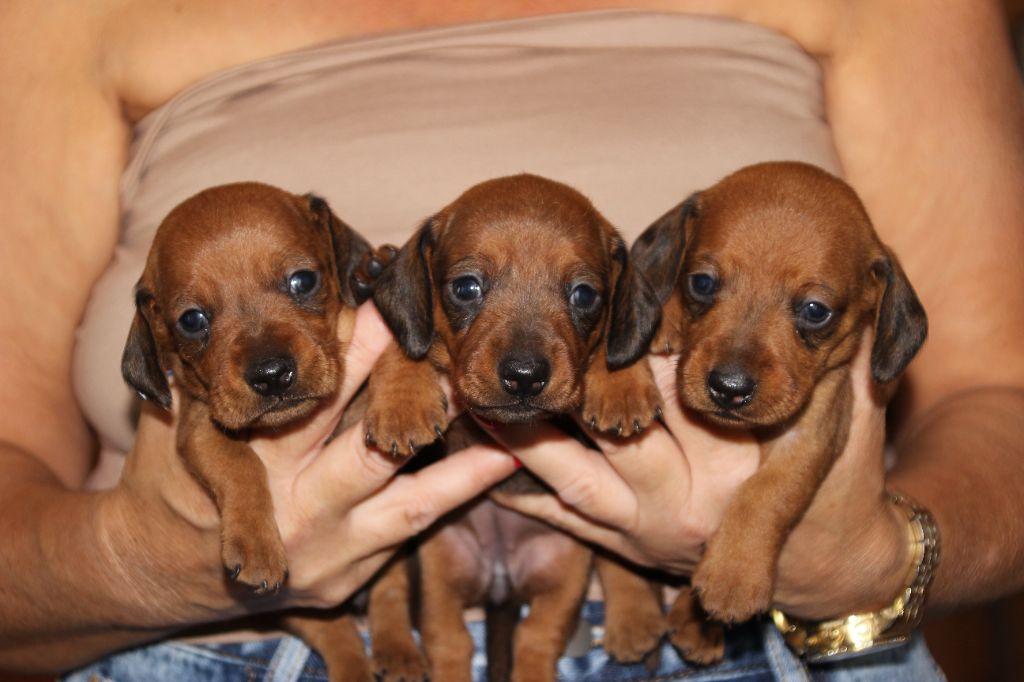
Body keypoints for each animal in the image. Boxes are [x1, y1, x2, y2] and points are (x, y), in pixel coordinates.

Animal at [120, 181, 406, 681]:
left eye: (303, 281)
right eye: (192, 320)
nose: (271, 375)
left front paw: (403, 403)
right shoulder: (200, 428)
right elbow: (241, 465)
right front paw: (256, 545)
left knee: (390, 592)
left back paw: (400, 652)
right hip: (300, 607)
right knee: (339, 635)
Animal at [365, 174, 668, 681]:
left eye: (584, 294)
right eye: (466, 287)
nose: (525, 376)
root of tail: (500, 580)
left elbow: (615, 343)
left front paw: (620, 383)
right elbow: (407, 343)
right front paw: (401, 402)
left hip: (566, 568)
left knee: (536, 638)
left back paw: (631, 617)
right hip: (440, 565)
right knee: (449, 639)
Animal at [631, 161, 928, 650]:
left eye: (815, 310)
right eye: (702, 282)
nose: (729, 388)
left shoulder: (810, 435)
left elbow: (765, 495)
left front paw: (734, 575)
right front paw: (666, 320)